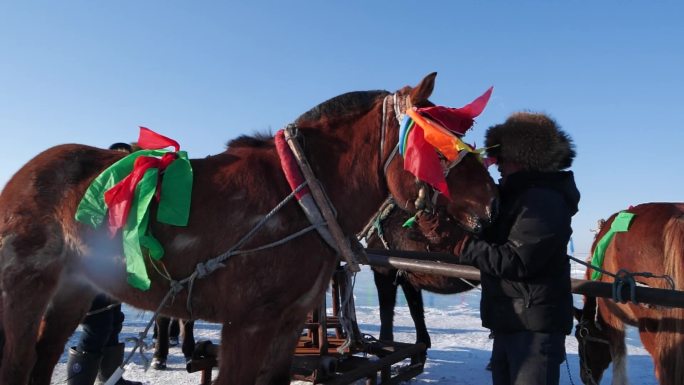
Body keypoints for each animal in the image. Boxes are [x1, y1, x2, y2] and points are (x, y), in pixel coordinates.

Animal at [364, 201, 480, 348]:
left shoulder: (383, 273)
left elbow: (386, 312)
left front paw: (385, 341)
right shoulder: (408, 279)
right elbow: (416, 310)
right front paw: (423, 341)